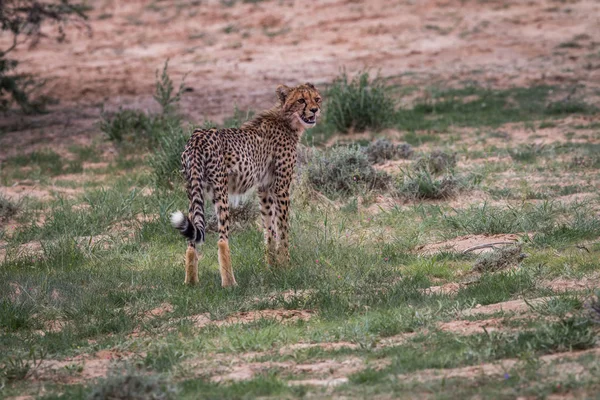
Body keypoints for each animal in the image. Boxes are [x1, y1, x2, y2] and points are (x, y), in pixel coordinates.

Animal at [171, 82, 322, 288]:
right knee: (222, 240)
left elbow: (269, 229)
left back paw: (191, 283)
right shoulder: (281, 188)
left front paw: (272, 267)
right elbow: (283, 230)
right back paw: (229, 283)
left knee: (191, 241)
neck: (287, 119)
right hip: (221, 192)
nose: (315, 109)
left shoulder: (264, 188)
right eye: (301, 100)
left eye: (317, 98)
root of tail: (198, 136)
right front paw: (286, 266)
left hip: (194, 193)